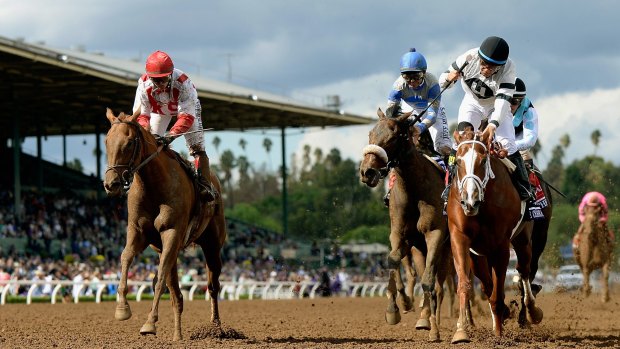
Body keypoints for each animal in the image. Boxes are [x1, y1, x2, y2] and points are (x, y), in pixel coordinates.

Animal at [103, 107, 226, 338]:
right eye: (106, 141)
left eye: (130, 142)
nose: (111, 183)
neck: (153, 186)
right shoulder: (138, 232)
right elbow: (125, 258)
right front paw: (122, 309)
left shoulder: (172, 232)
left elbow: (160, 278)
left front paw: (150, 323)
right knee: (177, 294)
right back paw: (178, 335)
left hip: (212, 245)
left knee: (213, 286)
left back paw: (216, 327)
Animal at [358, 108, 450, 340]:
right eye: (370, 134)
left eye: (393, 137)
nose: (367, 172)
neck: (414, 188)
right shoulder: (400, 235)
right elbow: (392, 260)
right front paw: (397, 308)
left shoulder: (435, 233)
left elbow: (428, 281)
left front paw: (434, 331)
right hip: (419, 250)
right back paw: (423, 317)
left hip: (448, 249)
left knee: (440, 285)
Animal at [446, 128, 544, 342]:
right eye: (458, 162)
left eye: (483, 161)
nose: (469, 201)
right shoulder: (461, 238)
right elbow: (466, 284)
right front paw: (461, 330)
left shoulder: (501, 246)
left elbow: (498, 294)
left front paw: (499, 334)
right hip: (480, 255)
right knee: (489, 283)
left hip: (523, 239)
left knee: (524, 270)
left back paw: (532, 311)